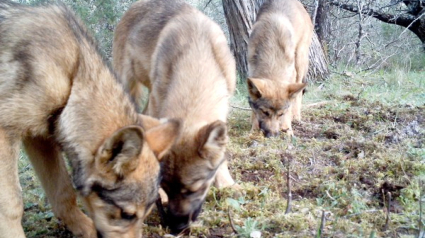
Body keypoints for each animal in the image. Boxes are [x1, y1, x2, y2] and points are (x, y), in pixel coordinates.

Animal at [0, 0, 181, 237]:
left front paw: (85, 229)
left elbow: (63, 193)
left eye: (146, 215)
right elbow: (11, 206)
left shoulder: (40, 138)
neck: (73, 77)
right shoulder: (6, 132)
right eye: (127, 215)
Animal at [112, 0, 238, 234]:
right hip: (130, 85)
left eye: (193, 190)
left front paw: (226, 183)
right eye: (165, 187)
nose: (177, 227)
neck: (196, 57)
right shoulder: (157, 101)